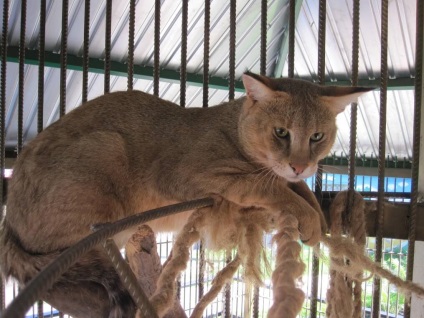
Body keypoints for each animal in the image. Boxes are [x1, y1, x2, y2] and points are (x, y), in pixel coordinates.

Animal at [0, 71, 372, 316]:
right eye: (281, 132)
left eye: (317, 136)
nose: (299, 164)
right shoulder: (191, 174)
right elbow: (268, 186)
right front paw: (307, 214)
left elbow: (295, 186)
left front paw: (314, 207)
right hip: (106, 151)